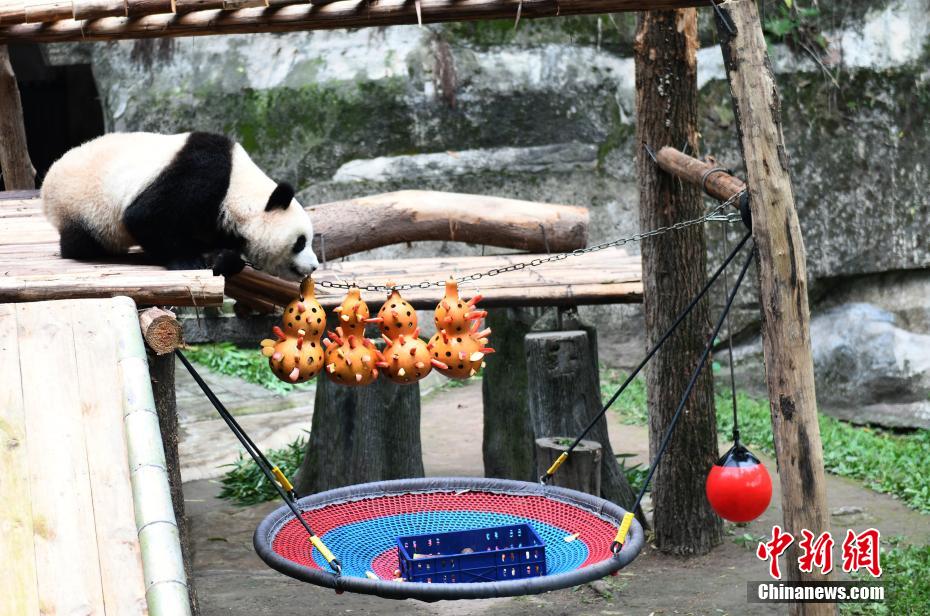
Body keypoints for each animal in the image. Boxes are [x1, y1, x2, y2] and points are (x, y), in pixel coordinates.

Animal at [40, 135, 320, 282]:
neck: (239, 189)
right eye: (300, 242)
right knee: (83, 241)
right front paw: (189, 261)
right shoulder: (201, 175)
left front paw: (222, 259)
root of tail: (46, 184)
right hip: (83, 207)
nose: (315, 266)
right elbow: (145, 217)